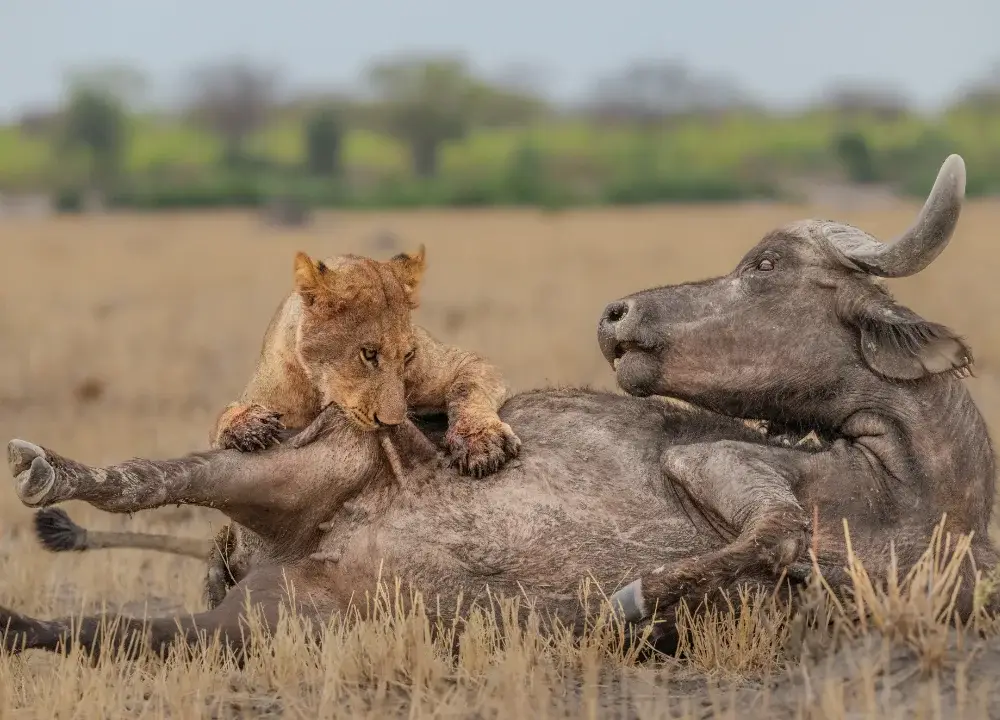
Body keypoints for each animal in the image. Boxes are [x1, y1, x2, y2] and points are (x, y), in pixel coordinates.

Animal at [202, 245, 521, 607]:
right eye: (368, 353)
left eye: (408, 356)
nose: (394, 422)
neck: (319, 391)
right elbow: (223, 419)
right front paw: (249, 426)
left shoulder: (459, 362)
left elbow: (469, 385)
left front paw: (481, 443)